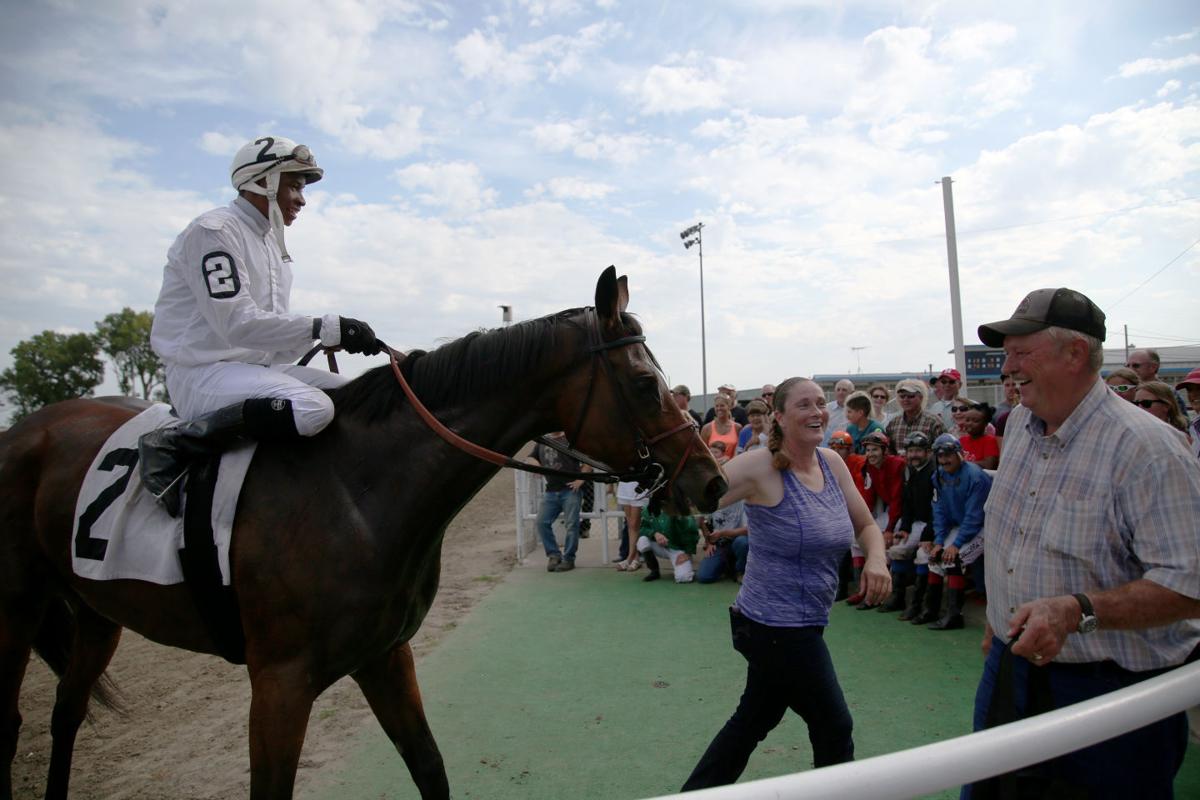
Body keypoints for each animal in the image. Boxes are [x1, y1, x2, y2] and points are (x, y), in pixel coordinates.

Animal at [0, 266, 726, 800]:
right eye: (644, 381)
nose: (711, 481)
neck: (354, 490)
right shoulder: (279, 684)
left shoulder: (385, 654)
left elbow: (430, 768)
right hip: (19, 606)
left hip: (97, 609)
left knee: (65, 713)